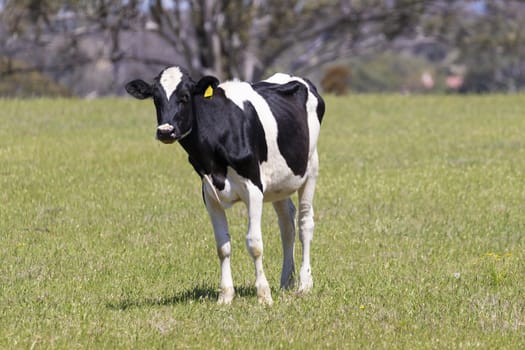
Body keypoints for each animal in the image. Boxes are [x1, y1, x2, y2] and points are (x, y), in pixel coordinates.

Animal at [126, 67, 324, 304]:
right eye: (156, 99)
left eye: (185, 97)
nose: (165, 131)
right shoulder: (209, 193)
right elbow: (223, 246)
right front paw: (226, 296)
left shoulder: (254, 188)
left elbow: (254, 244)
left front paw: (263, 295)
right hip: (280, 183)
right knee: (287, 225)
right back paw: (287, 281)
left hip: (310, 169)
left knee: (305, 224)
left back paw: (304, 283)